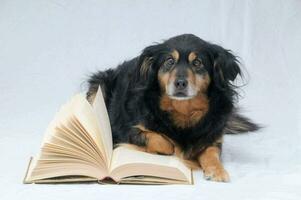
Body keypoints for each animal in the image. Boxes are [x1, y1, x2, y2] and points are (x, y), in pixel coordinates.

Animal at [86, 33, 258, 182]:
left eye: (197, 62)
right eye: (169, 61)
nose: (180, 83)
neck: (183, 110)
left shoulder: (213, 137)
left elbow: (211, 153)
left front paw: (217, 170)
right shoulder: (128, 130)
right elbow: (162, 141)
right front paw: (177, 154)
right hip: (98, 85)